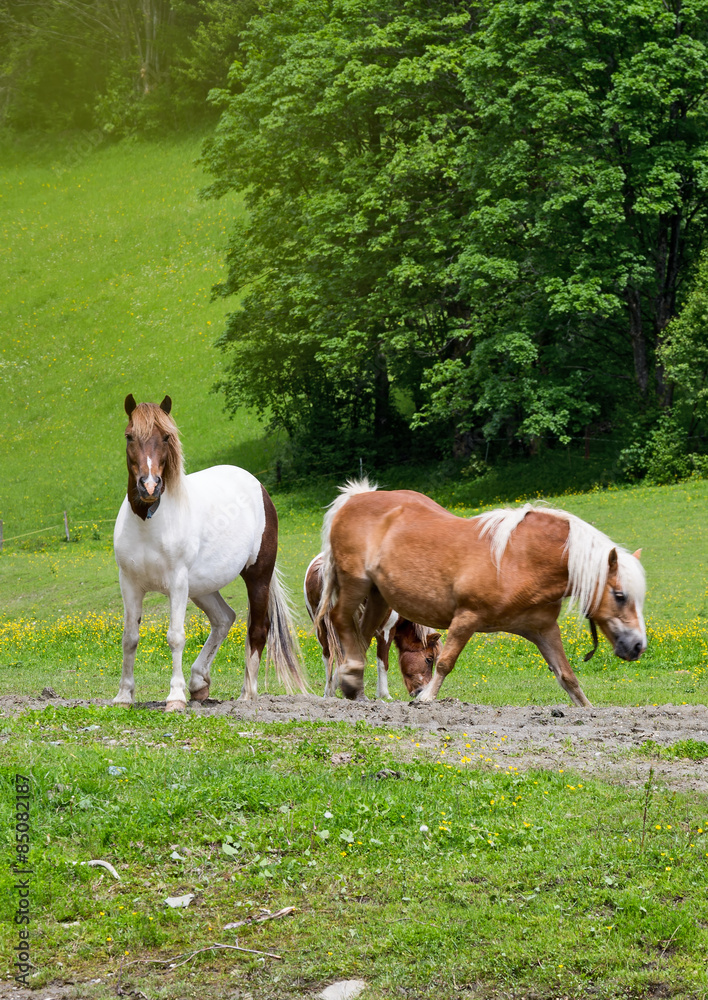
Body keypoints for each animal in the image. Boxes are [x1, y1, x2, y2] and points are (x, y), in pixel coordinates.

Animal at [113, 394, 307, 710]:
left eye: (166, 437)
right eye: (130, 436)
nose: (150, 486)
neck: (149, 522)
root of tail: (258, 485)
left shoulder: (177, 583)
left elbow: (175, 636)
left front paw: (175, 698)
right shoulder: (129, 583)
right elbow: (130, 637)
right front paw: (124, 695)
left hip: (257, 576)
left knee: (258, 628)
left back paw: (247, 693)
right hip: (202, 588)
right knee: (224, 618)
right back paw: (198, 682)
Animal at [304, 553, 442, 698]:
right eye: (429, 659)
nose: (421, 691)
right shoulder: (386, 631)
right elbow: (383, 663)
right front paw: (384, 694)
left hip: (321, 629)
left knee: (327, 656)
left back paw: (330, 691)